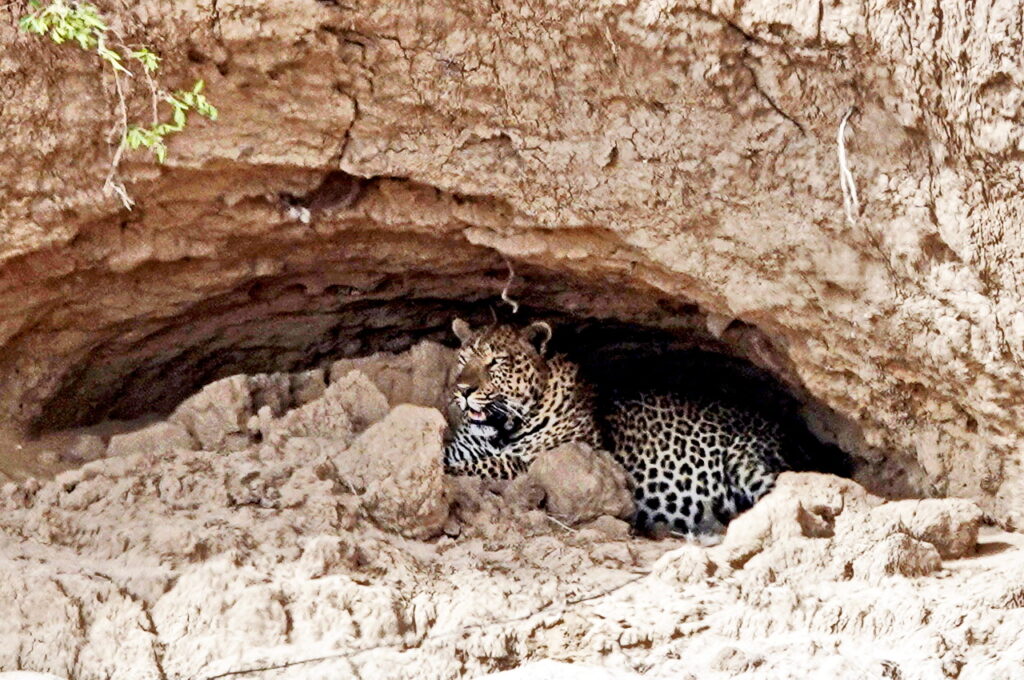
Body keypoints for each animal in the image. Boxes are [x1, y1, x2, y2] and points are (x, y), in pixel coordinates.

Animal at [442, 318, 823, 540]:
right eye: (462, 360)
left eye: (496, 362)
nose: (462, 389)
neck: (500, 427)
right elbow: (453, 455)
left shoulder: (541, 462)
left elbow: (483, 466)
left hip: (747, 462)